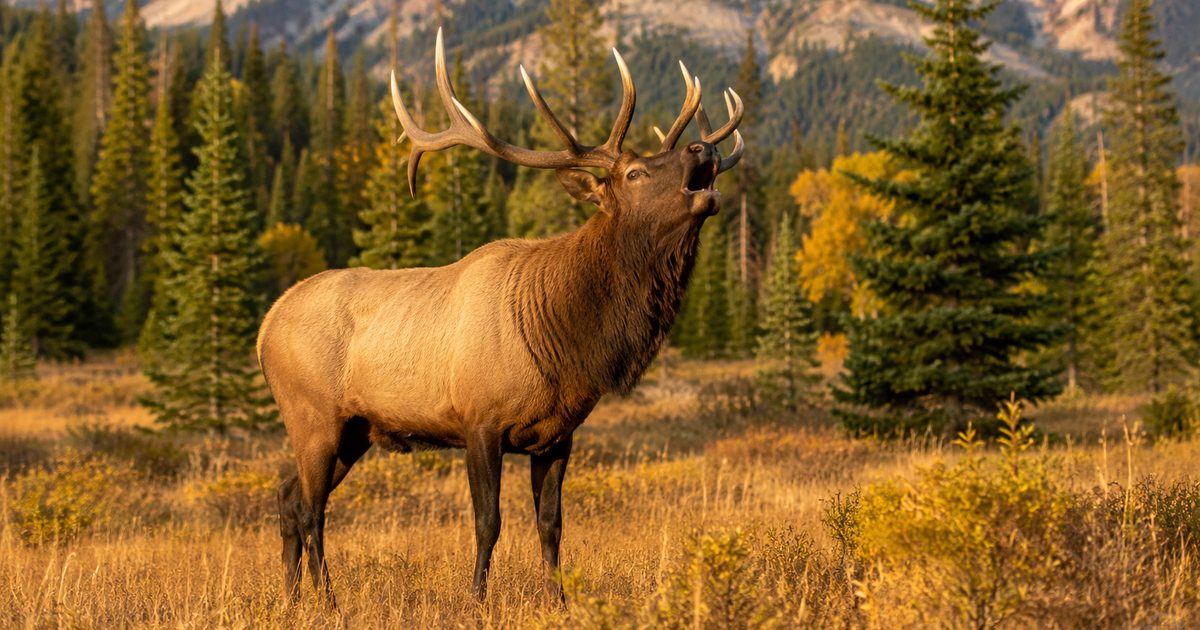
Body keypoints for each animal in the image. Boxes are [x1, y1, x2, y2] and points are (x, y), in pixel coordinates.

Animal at [256, 28, 743, 607]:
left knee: (287, 496)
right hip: (313, 415)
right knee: (312, 509)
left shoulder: (558, 435)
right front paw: (476, 598)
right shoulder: (479, 421)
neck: (567, 339)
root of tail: (264, 329)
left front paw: (560, 600)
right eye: (635, 172)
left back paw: (290, 598)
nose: (703, 147)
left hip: (355, 431)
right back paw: (328, 599)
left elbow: (551, 525)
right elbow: (487, 521)